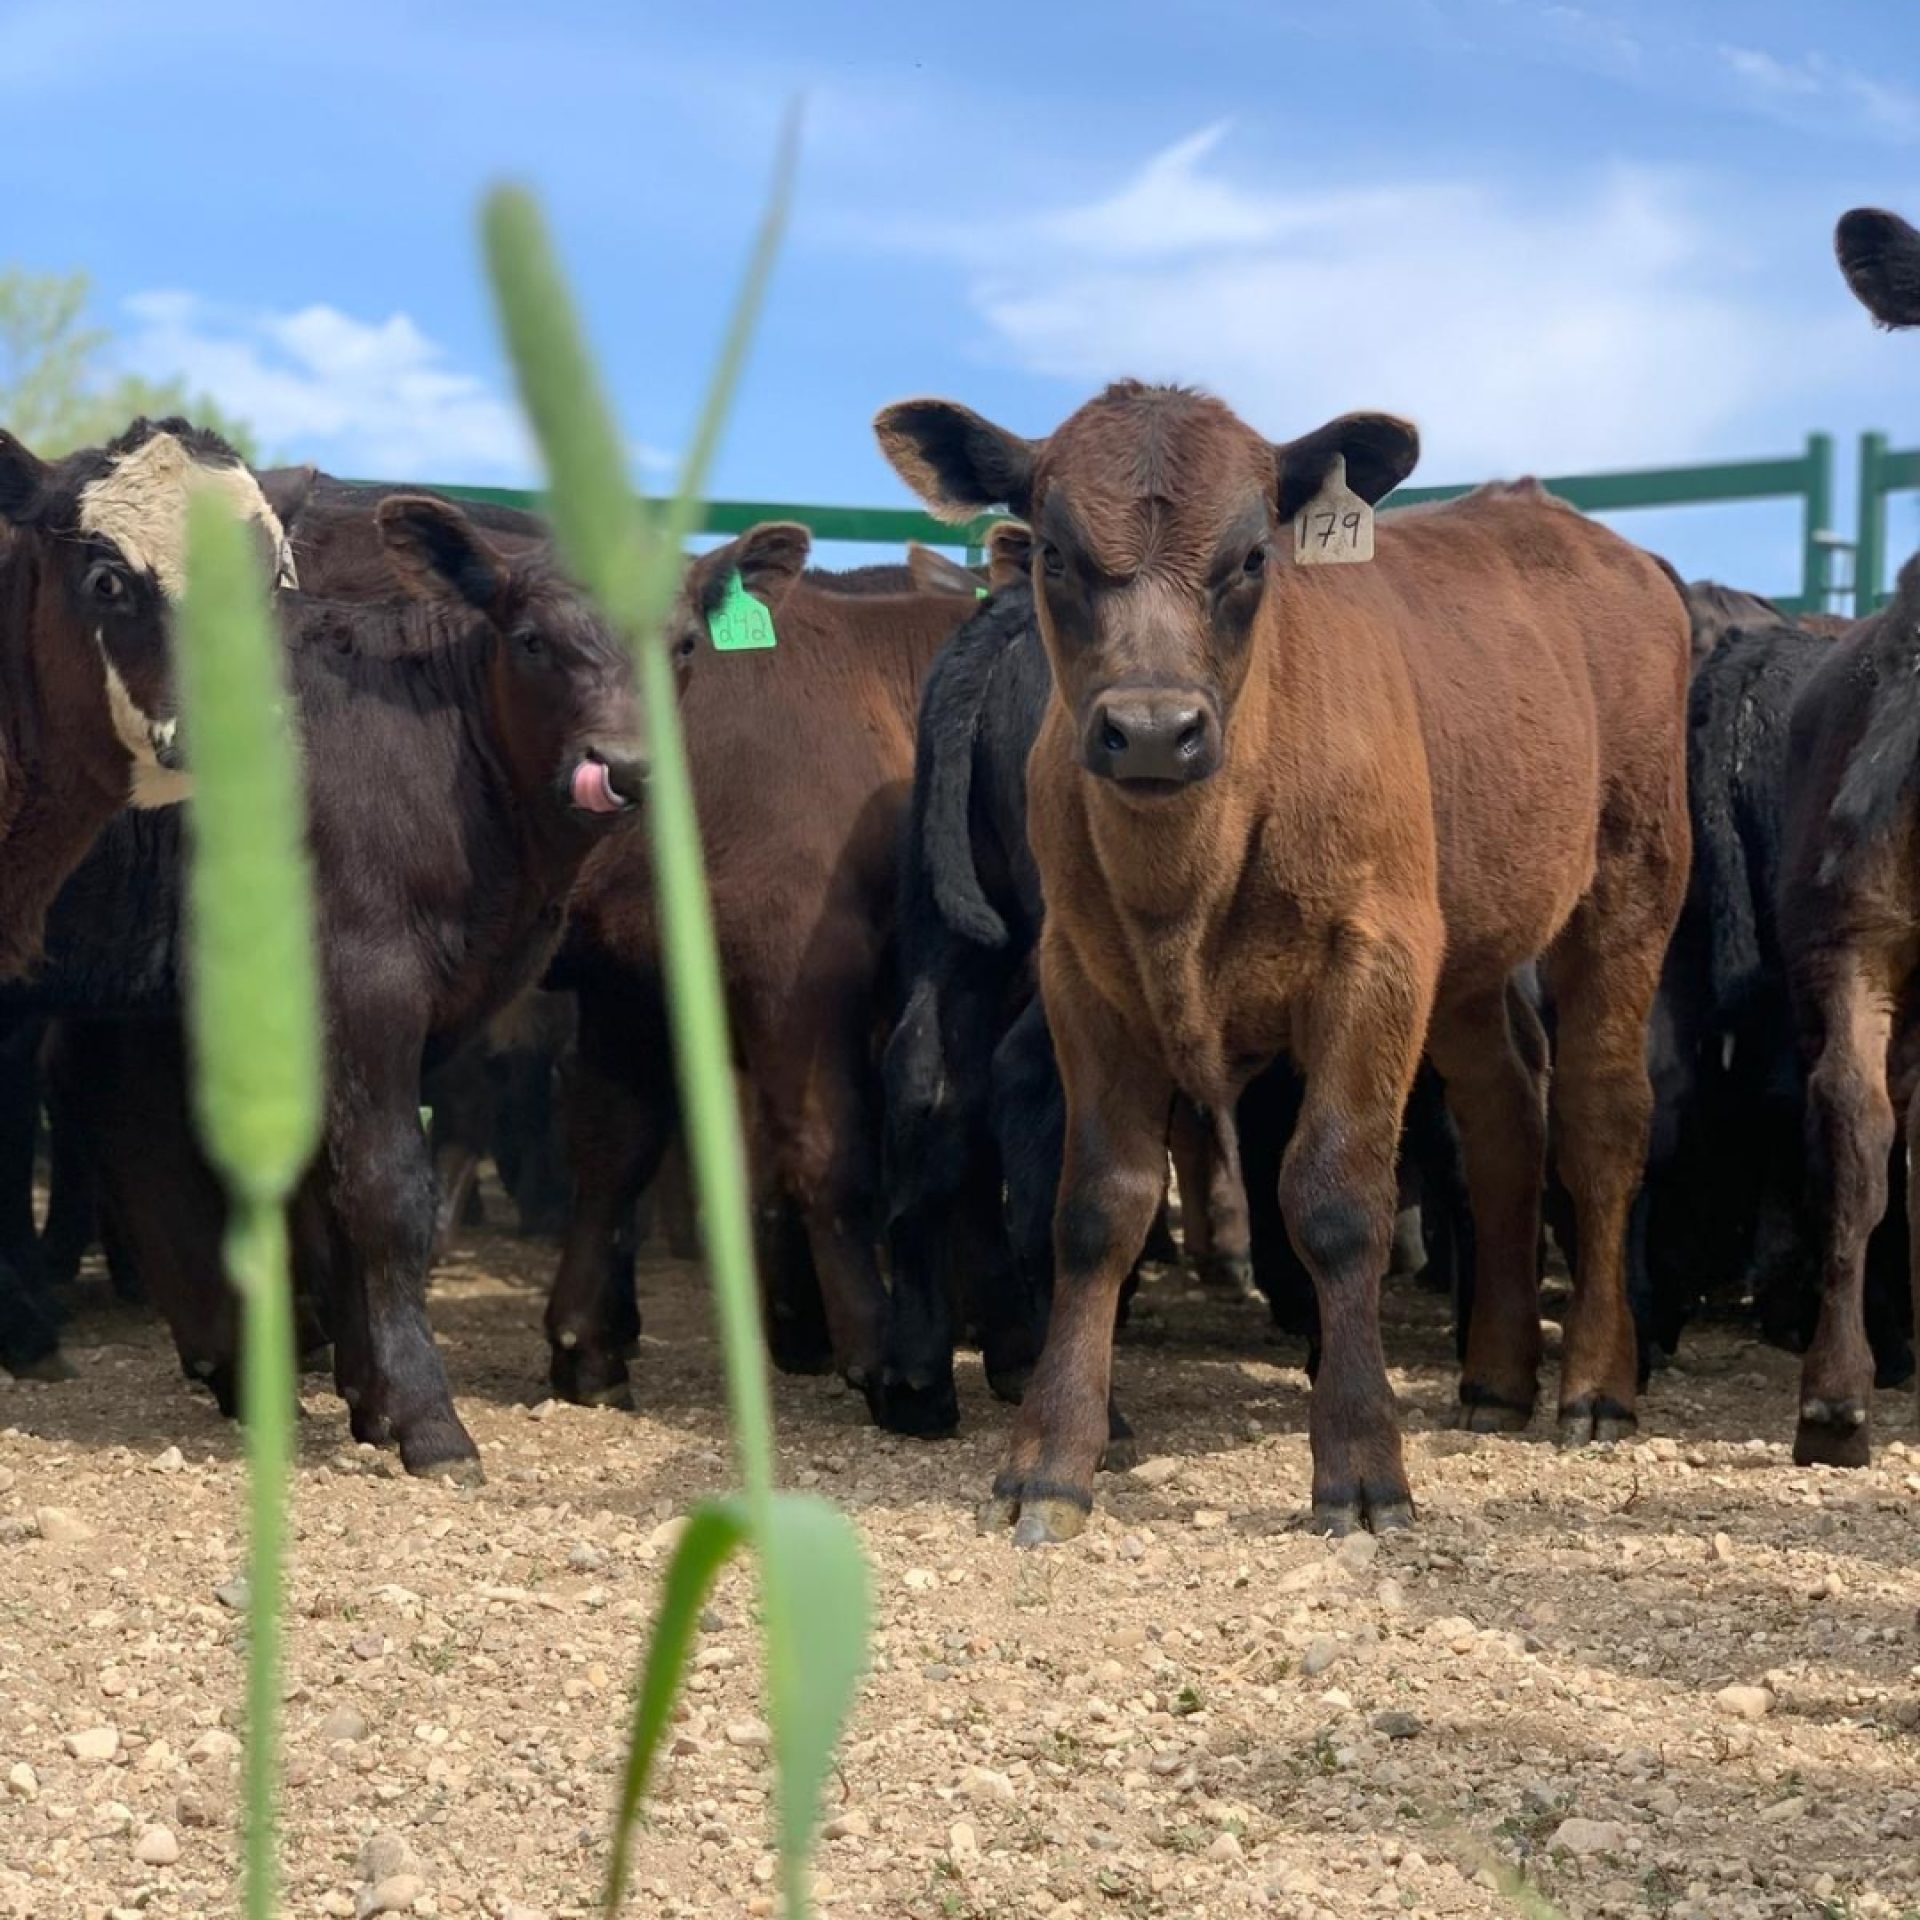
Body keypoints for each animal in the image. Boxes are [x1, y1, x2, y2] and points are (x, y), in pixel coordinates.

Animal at [549, 526, 975, 1413]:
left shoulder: (627, 973)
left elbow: (612, 1146)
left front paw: (584, 1348)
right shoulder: (797, 952)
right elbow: (827, 1149)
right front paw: (879, 1356)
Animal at [879, 382, 1689, 1536]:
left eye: (1254, 556)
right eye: (1057, 555)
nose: (1153, 729)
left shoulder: (1375, 960)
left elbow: (1337, 1200)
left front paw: (1359, 1462)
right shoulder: (1082, 974)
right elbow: (1097, 1205)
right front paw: (1051, 1456)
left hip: (1631, 881)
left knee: (1600, 1118)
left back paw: (1595, 1385)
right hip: (1464, 946)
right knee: (1503, 1115)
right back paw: (1495, 1377)